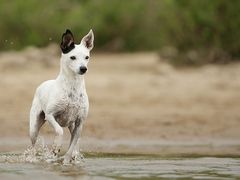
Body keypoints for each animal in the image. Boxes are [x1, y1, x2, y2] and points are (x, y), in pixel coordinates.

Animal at [28, 29, 94, 163]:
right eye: (72, 57)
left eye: (87, 57)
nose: (83, 68)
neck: (72, 87)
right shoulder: (50, 115)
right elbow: (59, 130)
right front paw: (56, 147)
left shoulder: (79, 123)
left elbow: (72, 145)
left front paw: (67, 160)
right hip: (34, 127)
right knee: (33, 144)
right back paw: (32, 158)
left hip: (72, 126)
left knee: (75, 142)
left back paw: (75, 155)